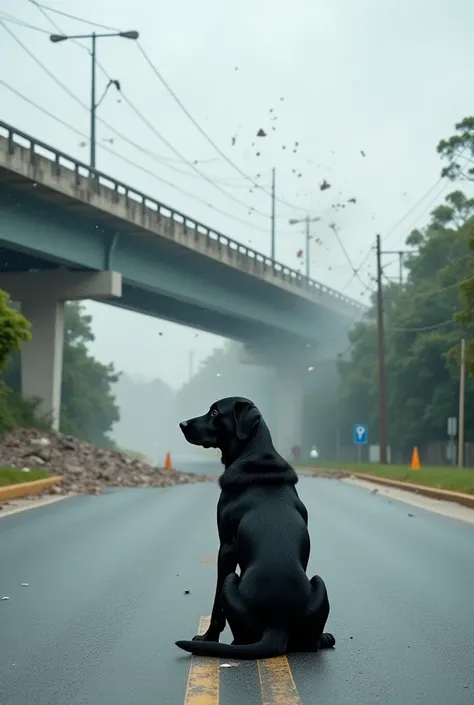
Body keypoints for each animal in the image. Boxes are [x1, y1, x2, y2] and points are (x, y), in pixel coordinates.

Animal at [174, 396, 334, 660]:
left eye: (215, 412)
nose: (182, 424)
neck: (255, 454)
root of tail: (278, 624)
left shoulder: (226, 547)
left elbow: (216, 609)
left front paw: (207, 637)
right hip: (319, 583)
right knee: (311, 642)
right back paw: (326, 637)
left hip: (231, 582)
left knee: (240, 636)